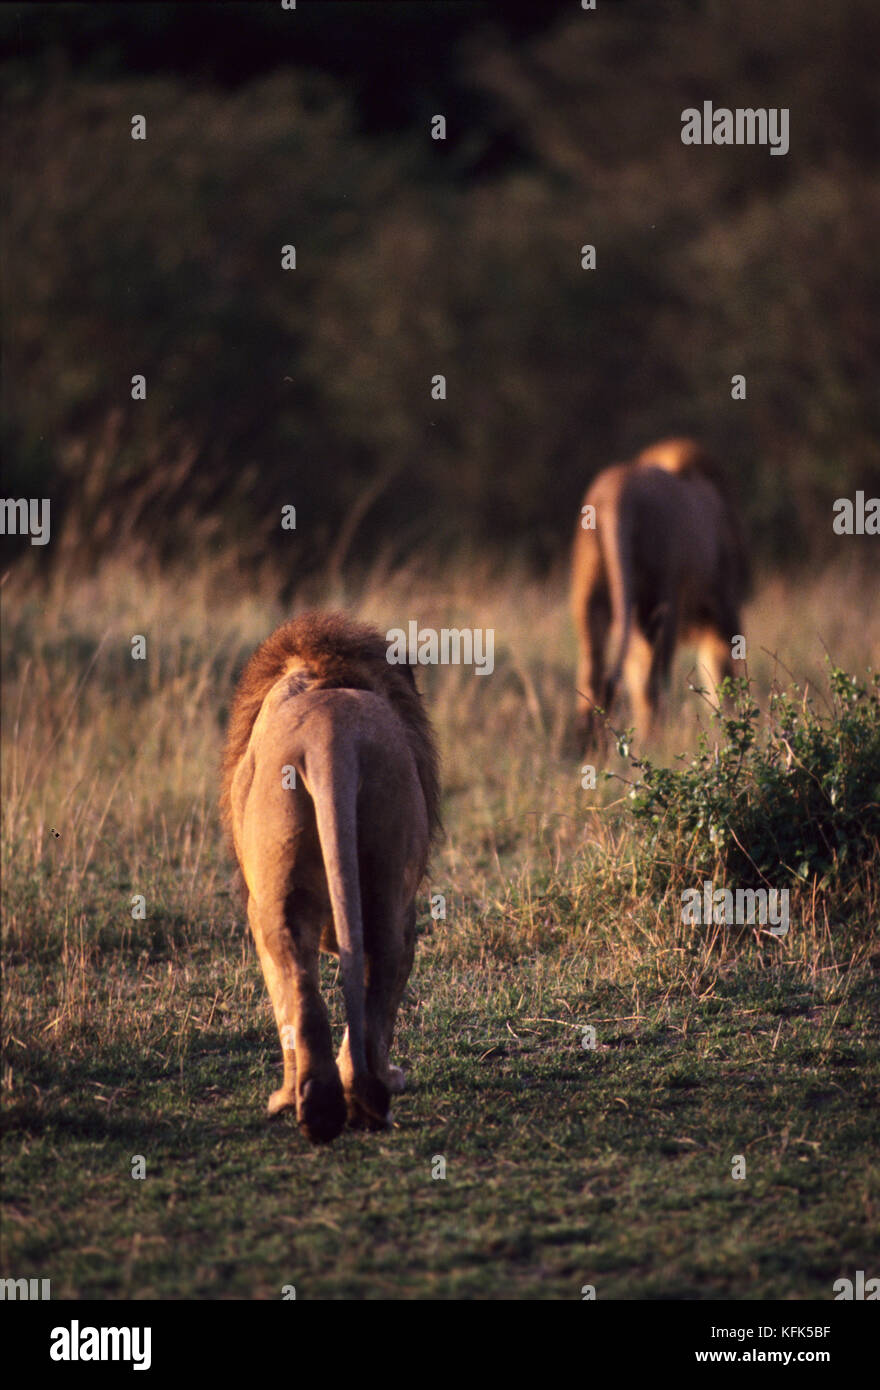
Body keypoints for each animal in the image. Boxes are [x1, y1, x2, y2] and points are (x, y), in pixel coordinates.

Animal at [220, 612, 440, 1143]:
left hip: (280, 893)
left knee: (301, 979)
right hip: (384, 863)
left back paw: (310, 1101)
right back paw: (354, 1102)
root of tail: (330, 733)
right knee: (371, 964)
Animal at [571, 438, 749, 749]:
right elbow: (722, 670)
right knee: (652, 682)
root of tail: (616, 493)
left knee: (594, 675)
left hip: (590, 596)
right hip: (663, 602)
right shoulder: (724, 606)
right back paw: (653, 742)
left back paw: (594, 745)